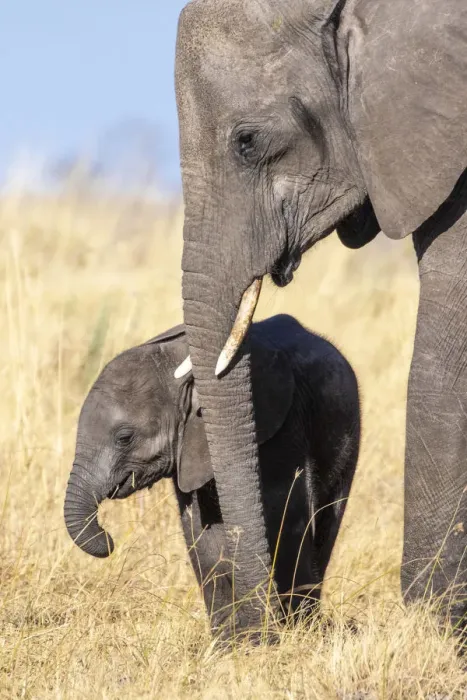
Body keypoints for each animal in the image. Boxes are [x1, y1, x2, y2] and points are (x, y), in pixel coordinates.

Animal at [64, 315, 360, 635]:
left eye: (124, 438)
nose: (109, 540)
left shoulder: (280, 429)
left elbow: (284, 517)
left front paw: (291, 632)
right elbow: (200, 532)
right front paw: (227, 640)